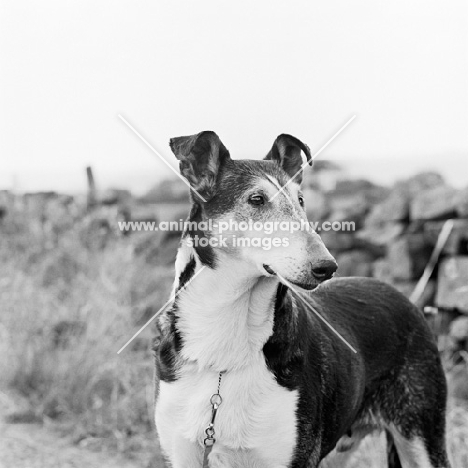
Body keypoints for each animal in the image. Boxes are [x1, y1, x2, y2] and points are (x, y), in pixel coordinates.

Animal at [153, 130, 450, 466]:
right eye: (256, 199)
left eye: (301, 200)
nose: (327, 266)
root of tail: (402, 296)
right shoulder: (184, 454)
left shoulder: (294, 457)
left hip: (421, 437)